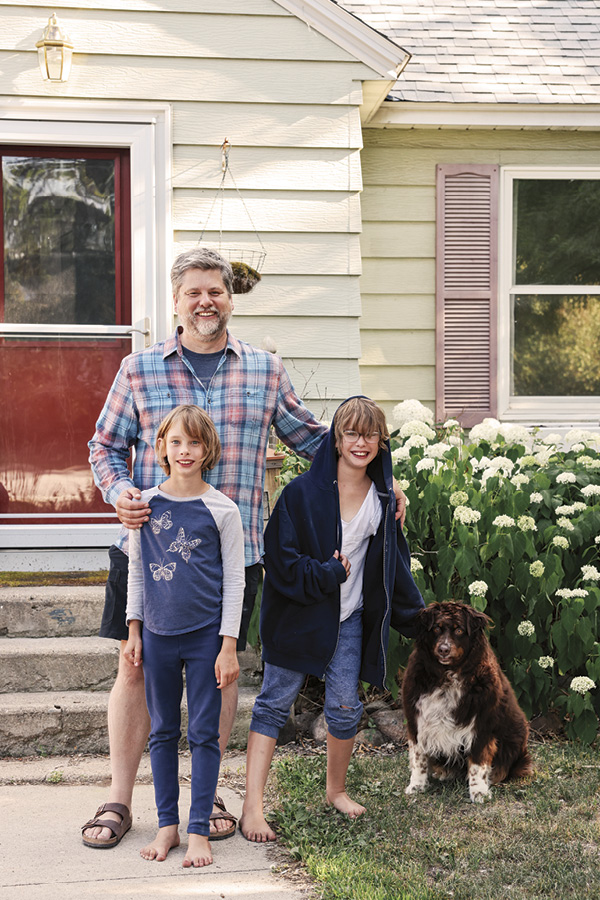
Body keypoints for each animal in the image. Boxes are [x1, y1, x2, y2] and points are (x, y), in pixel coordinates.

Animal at [400, 604, 532, 800]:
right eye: (436, 628)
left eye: (459, 630)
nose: (444, 649)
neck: (447, 674)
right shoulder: (416, 719)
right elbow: (419, 758)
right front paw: (416, 785)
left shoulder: (482, 723)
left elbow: (478, 762)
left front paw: (479, 791)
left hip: (516, 732)